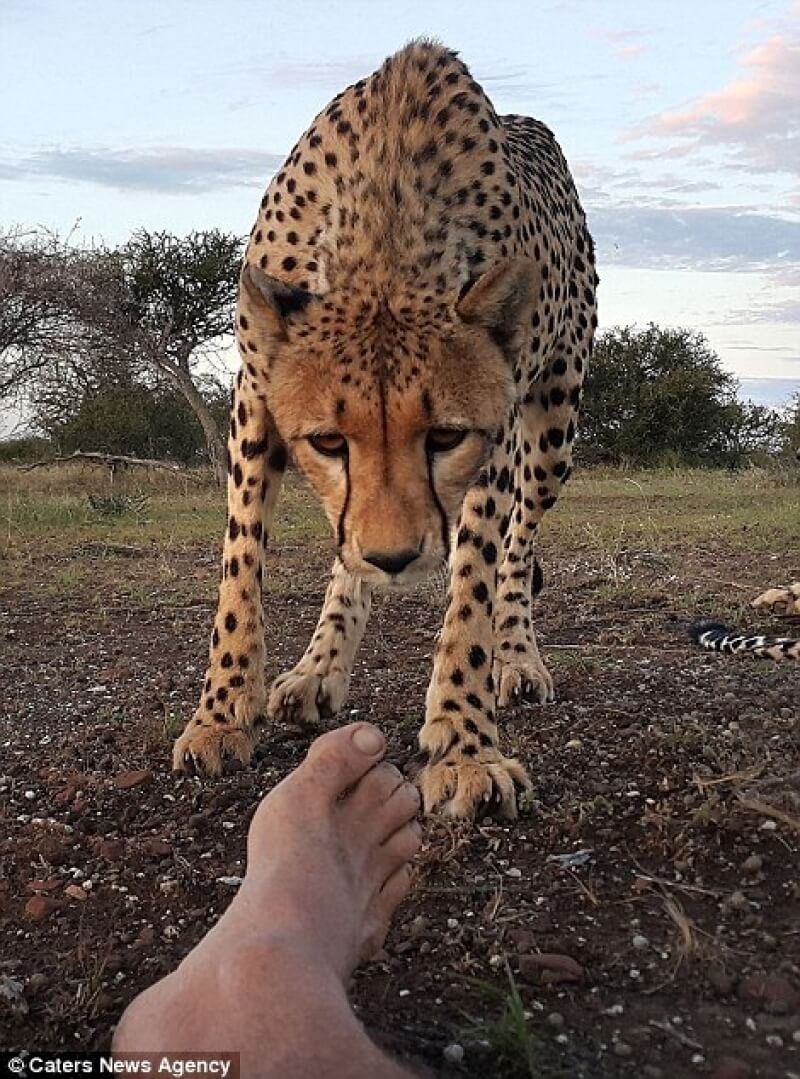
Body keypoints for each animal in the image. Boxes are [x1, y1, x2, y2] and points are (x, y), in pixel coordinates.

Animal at [174, 39, 600, 815]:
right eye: (327, 442)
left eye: (444, 437)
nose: (396, 558)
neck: (385, 229)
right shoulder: (256, 393)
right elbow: (240, 560)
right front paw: (220, 713)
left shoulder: (495, 432)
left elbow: (474, 582)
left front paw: (464, 745)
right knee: (349, 555)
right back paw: (319, 667)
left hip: (554, 426)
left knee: (519, 546)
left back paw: (517, 656)